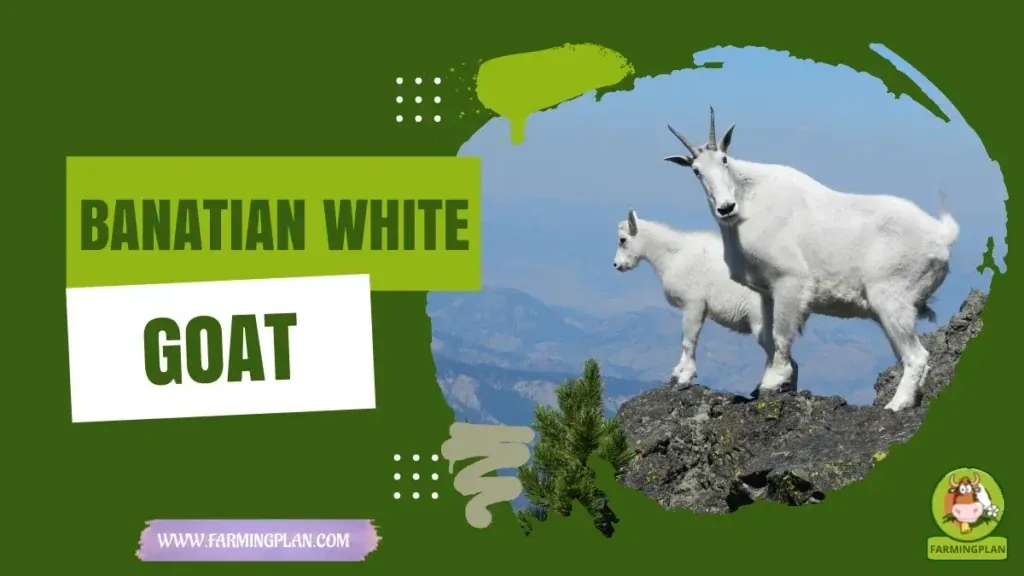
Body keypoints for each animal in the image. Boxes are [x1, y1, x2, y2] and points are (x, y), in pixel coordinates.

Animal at [613, 209, 778, 387]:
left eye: (622, 239)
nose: (617, 265)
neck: (672, 256)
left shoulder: (693, 304)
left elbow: (688, 341)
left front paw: (685, 378)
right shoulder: (698, 309)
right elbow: (688, 339)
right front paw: (677, 372)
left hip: (759, 320)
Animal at [662, 108, 960, 411]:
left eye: (724, 159)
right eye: (696, 171)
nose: (725, 207)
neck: (748, 204)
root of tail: (941, 236)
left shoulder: (789, 281)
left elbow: (781, 333)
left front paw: (774, 382)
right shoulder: (766, 291)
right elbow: (768, 335)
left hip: (891, 298)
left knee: (917, 356)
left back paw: (895, 405)